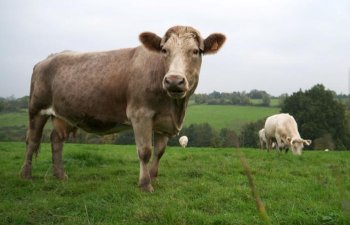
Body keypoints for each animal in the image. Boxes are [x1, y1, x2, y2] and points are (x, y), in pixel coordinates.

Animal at [20, 25, 226, 192]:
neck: (175, 107)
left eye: (196, 51)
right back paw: (26, 175)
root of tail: (46, 59)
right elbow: (145, 151)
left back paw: (60, 175)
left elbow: (159, 152)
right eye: (164, 50)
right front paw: (145, 184)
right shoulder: (140, 114)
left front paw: (152, 177)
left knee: (56, 140)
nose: (174, 80)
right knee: (32, 140)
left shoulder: (164, 123)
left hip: (65, 115)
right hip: (36, 109)